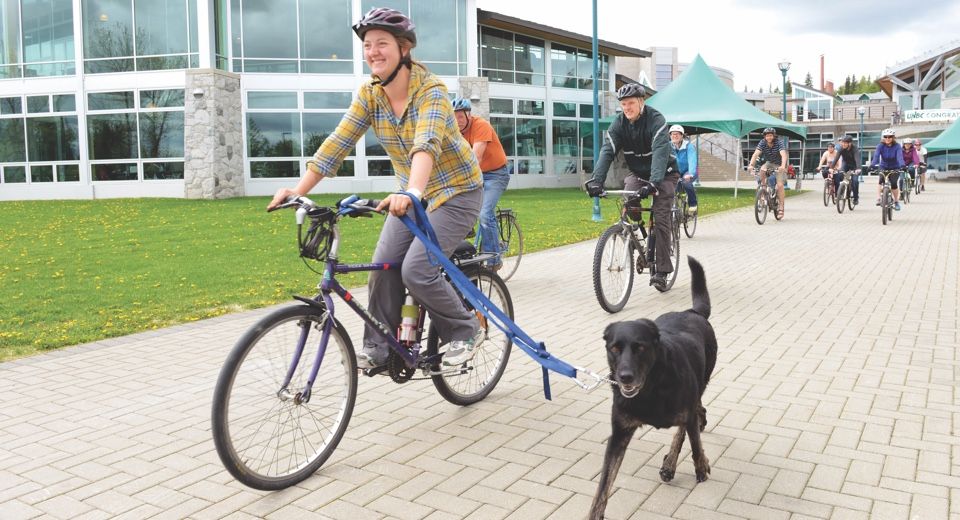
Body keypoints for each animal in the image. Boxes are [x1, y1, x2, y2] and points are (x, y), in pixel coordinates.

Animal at [588, 256, 716, 520]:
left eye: (641, 347)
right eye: (615, 348)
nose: (625, 377)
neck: (650, 389)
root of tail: (693, 312)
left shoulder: (686, 410)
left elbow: (693, 444)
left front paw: (701, 465)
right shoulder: (619, 434)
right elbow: (604, 482)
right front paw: (594, 513)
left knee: (688, 423)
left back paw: (671, 464)